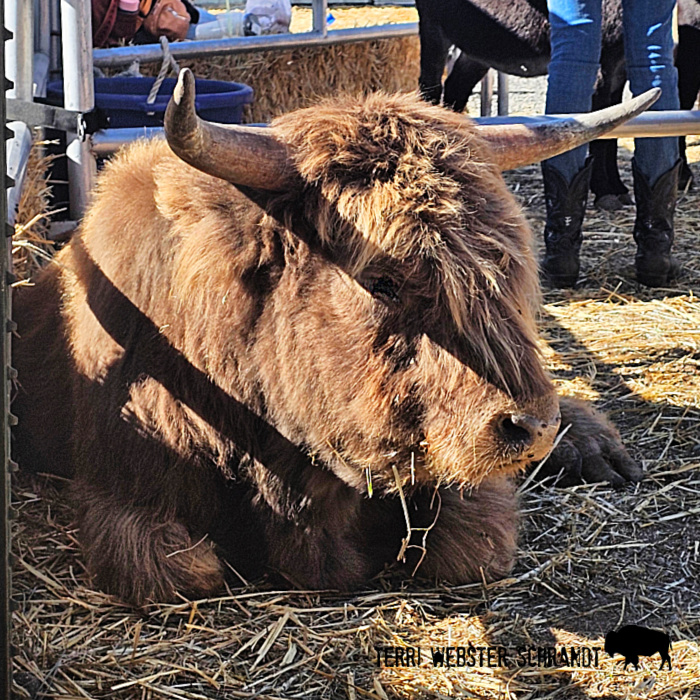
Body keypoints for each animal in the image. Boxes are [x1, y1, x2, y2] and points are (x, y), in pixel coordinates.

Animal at [11, 69, 649, 606]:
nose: (531, 427)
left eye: (508, 265)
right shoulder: (133, 502)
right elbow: (187, 571)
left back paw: (593, 446)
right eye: (383, 279)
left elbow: (469, 549)